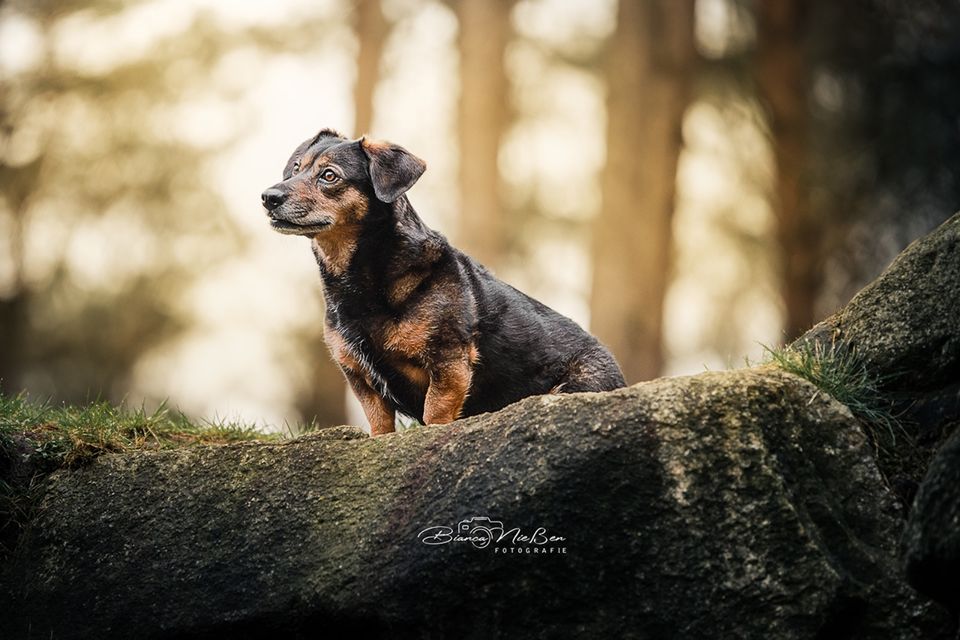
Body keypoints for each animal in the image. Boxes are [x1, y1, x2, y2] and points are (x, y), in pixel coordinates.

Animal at [258, 128, 628, 436]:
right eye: (294, 169)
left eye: (329, 175)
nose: (268, 197)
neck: (364, 275)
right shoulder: (360, 377)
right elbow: (380, 424)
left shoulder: (448, 362)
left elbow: (435, 413)